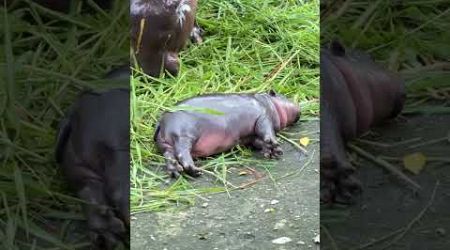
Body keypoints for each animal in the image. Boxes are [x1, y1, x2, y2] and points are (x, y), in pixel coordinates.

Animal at [154, 91, 298, 178]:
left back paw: (175, 172)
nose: (298, 105)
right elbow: (267, 132)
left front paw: (271, 151)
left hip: (166, 145)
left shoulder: (252, 137)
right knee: (182, 153)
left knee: (169, 156)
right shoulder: (263, 117)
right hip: (184, 136)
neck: (267, 102)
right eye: (284, 96)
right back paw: (196, 171)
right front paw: (276, 146)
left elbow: (260, 141)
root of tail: (161, 121)